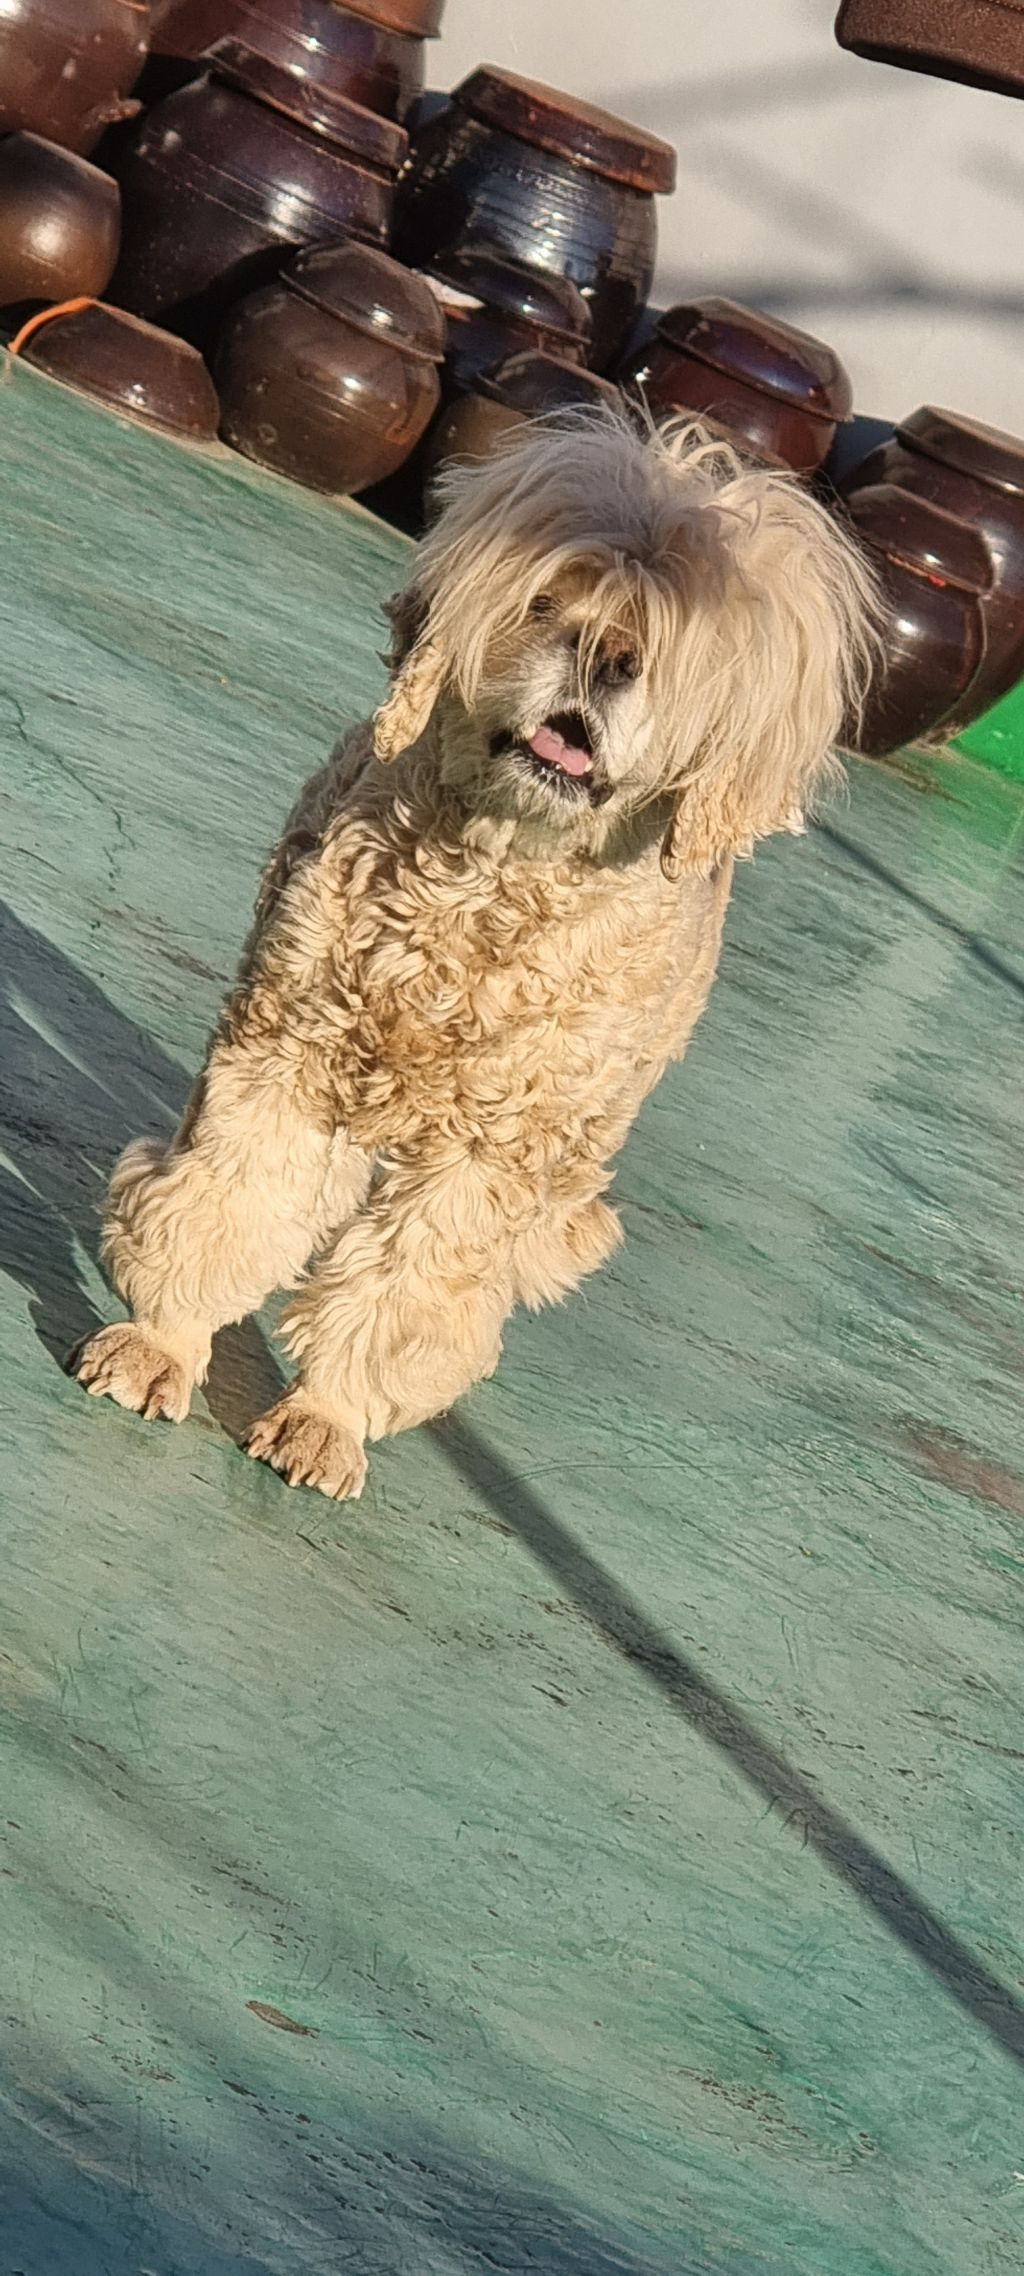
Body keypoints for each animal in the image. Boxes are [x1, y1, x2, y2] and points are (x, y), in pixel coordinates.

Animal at [68, 412, 878, 1500]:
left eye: (664, 651)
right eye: (546, 602)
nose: (604, 652)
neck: (491, 881)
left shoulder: (493, 1151)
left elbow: (406, 1287)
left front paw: (326, 1416)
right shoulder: (287, 1054)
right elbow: (232, 1195)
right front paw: (162, 1341)